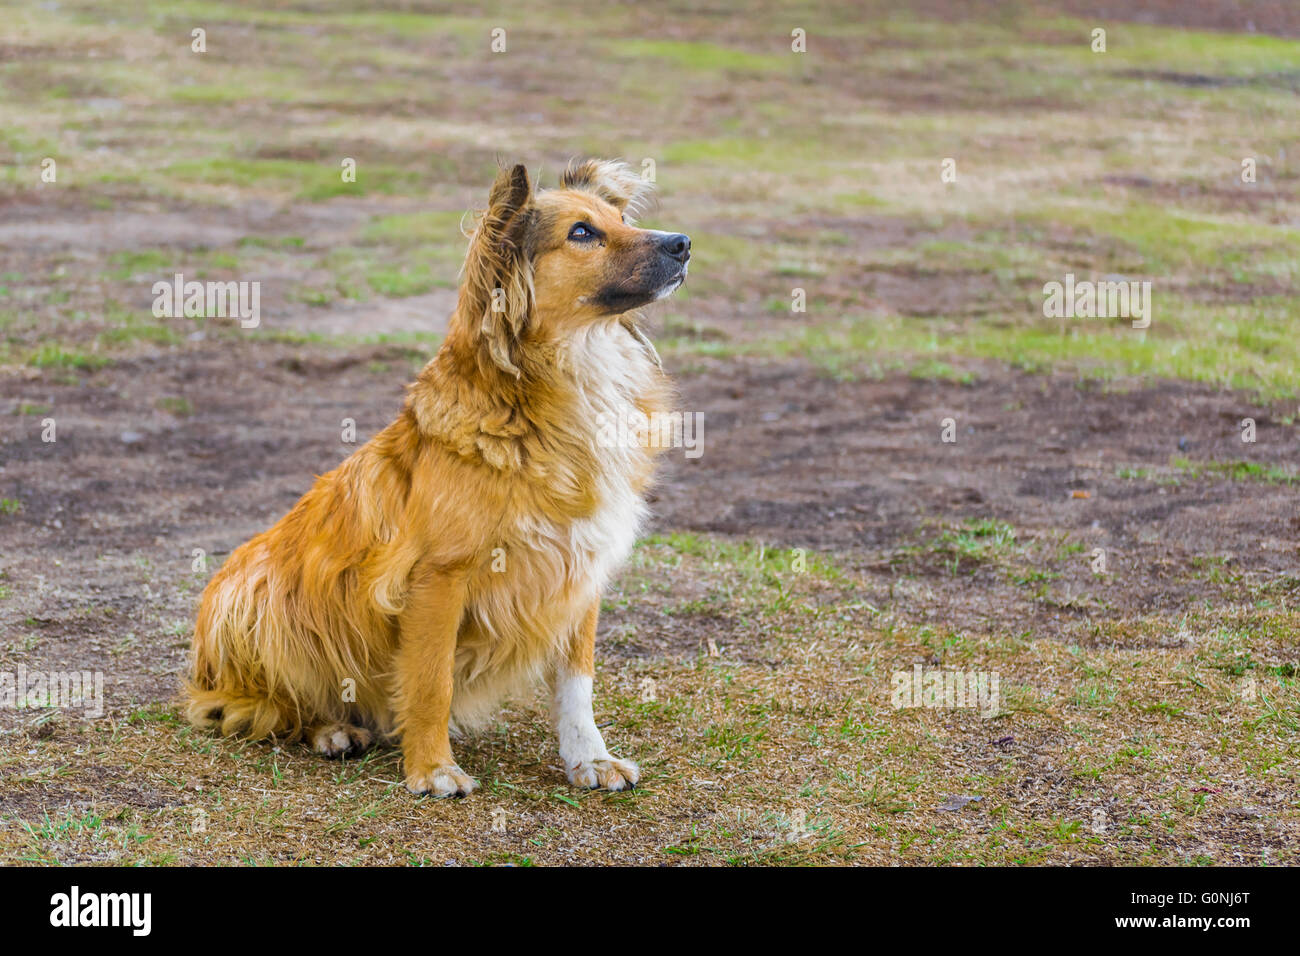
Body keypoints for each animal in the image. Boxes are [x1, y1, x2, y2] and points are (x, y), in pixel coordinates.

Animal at [187, 160, 691, 796]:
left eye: (620, 220)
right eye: (582, 233)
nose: (684, 243)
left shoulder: (579, 566)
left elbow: (577, 684)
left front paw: (588, 759)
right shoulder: (436, 578)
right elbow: (431, 681)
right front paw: (432, 768)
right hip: (256, 591)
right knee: (273, 701)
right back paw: (331, 729)